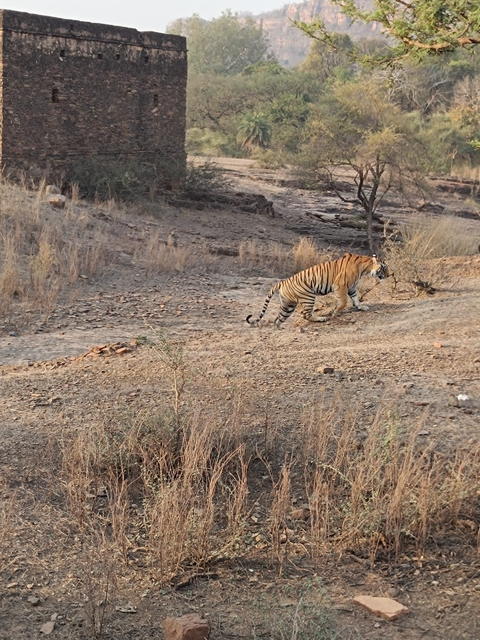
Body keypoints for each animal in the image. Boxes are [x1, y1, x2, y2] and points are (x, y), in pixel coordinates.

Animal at [246, 253, 390, 328]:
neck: (365, 267)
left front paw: (361, 307)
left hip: (288, 305)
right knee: (306, 314)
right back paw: (321, 319)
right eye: (384, 268)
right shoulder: (340, 285)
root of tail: (283, 282)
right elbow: (343, 302)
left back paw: (279, 328)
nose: (389, 275)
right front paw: (334, 312)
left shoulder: (352, 287)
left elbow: (355, 299)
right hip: (308, 297)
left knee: (278, 318)